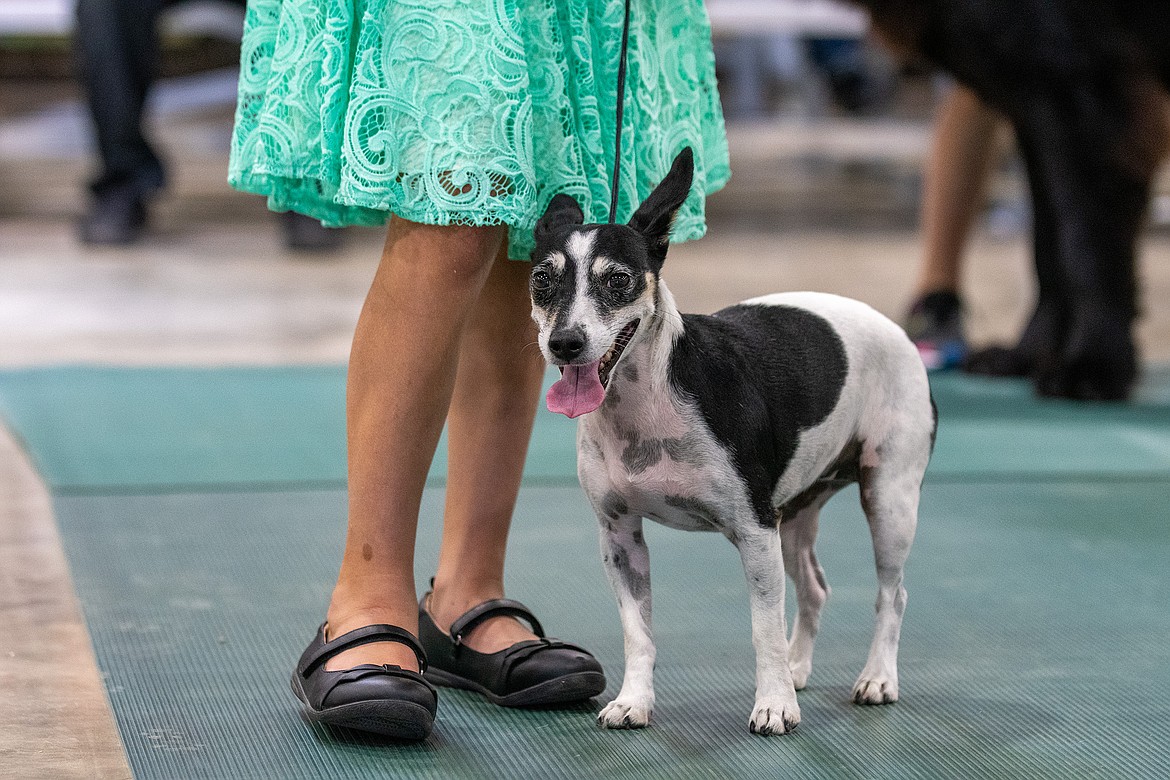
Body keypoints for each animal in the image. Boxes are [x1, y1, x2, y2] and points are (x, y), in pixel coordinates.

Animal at [535, 147, 935, 739]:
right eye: (542, 281)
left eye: (619, 281)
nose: (565, 342)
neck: (647, 403)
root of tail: (898, 330)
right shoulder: (620, 538)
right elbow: (638, 634)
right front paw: (634, 701)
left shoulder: (754, 532)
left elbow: (762, 629)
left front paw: (774, 706)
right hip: (793, 518)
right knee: (815, 588)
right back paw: (798, 668)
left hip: (888, 502)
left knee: (894, 593)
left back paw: (877, 677)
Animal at [851, 0, 1170, 399]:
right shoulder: (1034, 111)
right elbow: (1048, 252)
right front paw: (1029, 354)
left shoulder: (1081, 94)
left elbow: (1085, 251)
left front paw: (1094, 365)